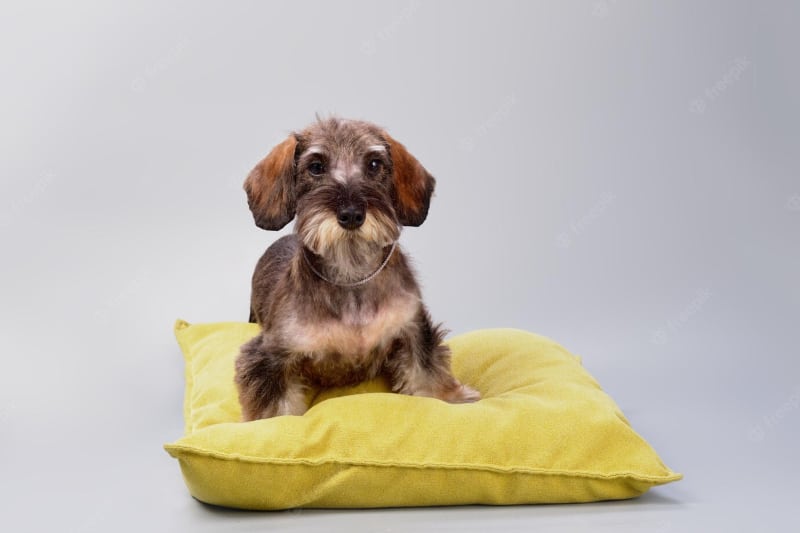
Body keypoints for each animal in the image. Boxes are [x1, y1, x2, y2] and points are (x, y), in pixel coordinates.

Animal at [234, 117, 478, 420]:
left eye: (374, 164)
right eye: (316, 167)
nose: (351, 215)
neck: (352, 275)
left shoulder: (414, 329)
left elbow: (426, 372)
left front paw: (449, 399)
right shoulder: (271, 356)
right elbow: (274, 407)